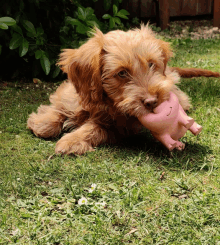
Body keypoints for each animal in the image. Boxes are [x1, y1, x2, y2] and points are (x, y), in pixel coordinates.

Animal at [27, 25, 220, 155]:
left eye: (151, 64)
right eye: (121, 73)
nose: (152, 102)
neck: (102, 102)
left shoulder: (119, 128)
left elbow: (95, 128)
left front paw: (72, 140)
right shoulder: (70, 93)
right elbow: (59, 106)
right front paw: (43, 122)